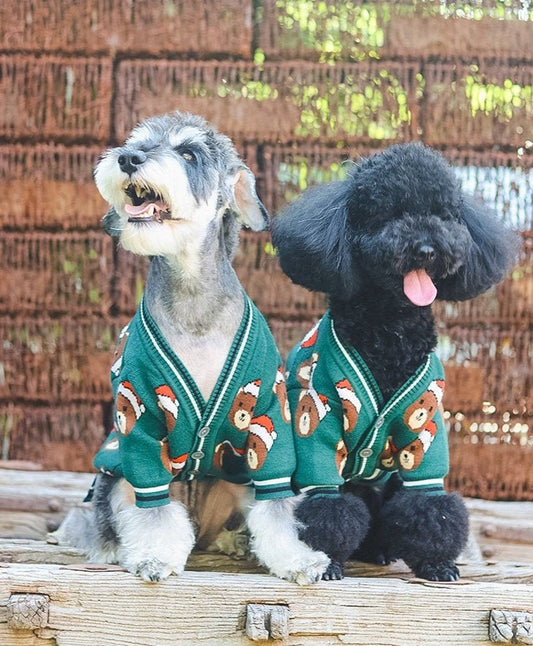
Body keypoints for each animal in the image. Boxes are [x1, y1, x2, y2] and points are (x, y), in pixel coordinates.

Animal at [55, 112, 328, 588]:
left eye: (188, 153)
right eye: (137, 141)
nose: (128, 158)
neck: (193, 298)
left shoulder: (267, 423)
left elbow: (277, 507)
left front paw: (297, 560)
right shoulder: (139, 422)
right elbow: (155, 511)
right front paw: (154, 556)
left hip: (238, 478)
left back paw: (235, 542)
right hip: (115, 477)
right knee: (119, 516)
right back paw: (116, 548)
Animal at [270, 142, 516, 584]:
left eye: (443, 214)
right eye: (389, 215)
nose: (427, 248)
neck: (392, 331)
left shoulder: (424, 431)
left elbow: (431, 506)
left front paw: (437, 563)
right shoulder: (318, 423)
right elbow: (326, 507)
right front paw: (328, 563)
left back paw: (381, 551)